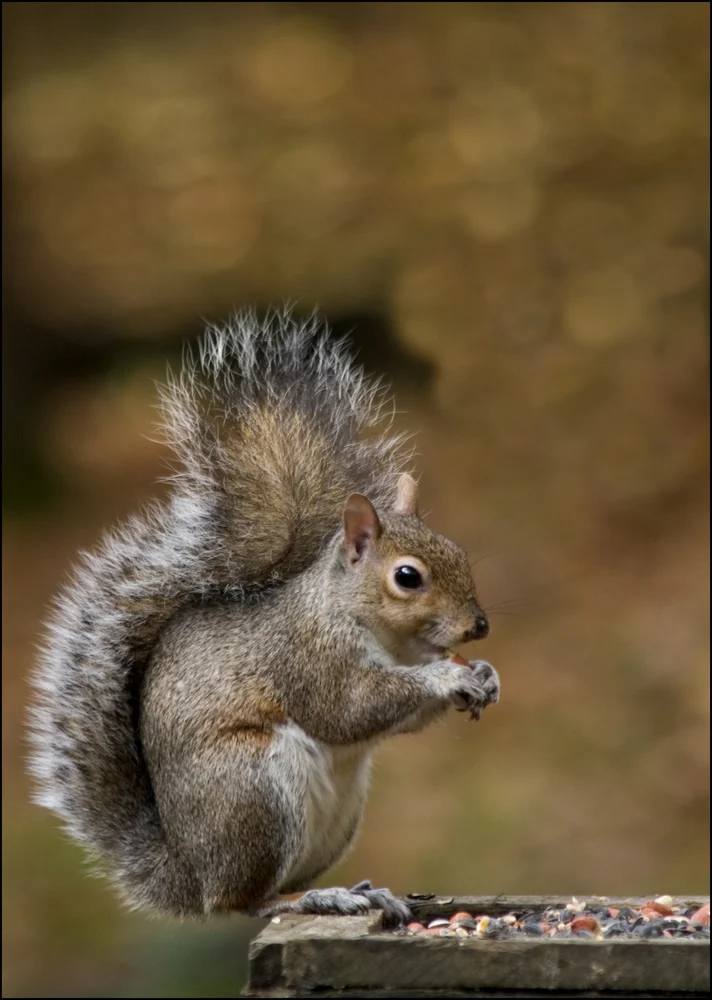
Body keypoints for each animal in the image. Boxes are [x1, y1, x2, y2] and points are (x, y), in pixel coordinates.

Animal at [28, 309, 499, 926]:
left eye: (460, 552)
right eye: (407, 577)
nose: (478, 628)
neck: (384, 636)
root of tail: (190, 874)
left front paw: (485, 675)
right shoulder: (306, 656)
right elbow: (348, 709)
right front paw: (445, 677)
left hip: (333, 819)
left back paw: (357, 892)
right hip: (254, 790)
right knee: (246, 901)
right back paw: (318, 897)